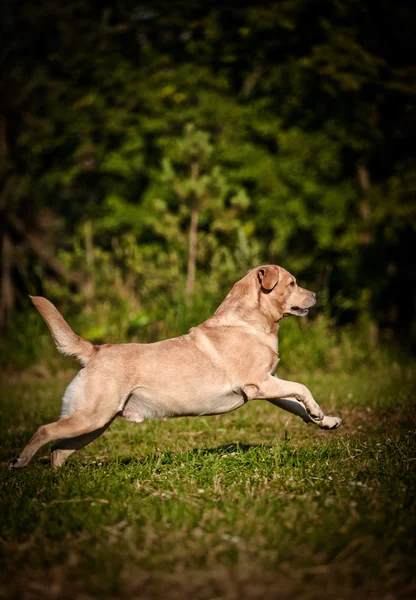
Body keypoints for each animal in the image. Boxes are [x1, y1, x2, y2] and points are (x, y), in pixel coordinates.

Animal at [8, 264, 342, 472]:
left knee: (59, 450)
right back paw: (20, 462)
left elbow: (296, 405)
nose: (316, 295)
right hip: (91, 417)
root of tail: (95, 351)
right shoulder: (259, 384)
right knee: (44, 431)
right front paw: (318, 411)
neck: (250, 321)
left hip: (95, 423)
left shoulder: (270, 385)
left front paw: (324, 420)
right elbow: (302, 388)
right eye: (293, 283)